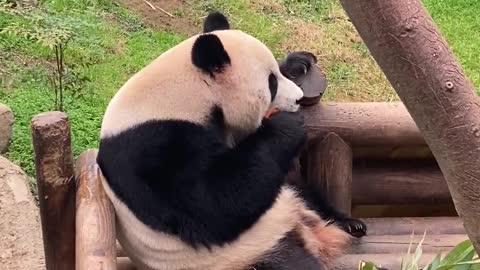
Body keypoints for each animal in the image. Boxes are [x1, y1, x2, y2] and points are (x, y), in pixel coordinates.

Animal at [97, 11, 366, 270]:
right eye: (271, 83)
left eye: (277, 75)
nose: (299, 98)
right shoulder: (153, 150)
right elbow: (211, 207)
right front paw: (287, 124)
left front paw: (298, 64)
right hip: (250, 253)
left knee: (304, 192)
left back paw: (348, 224)